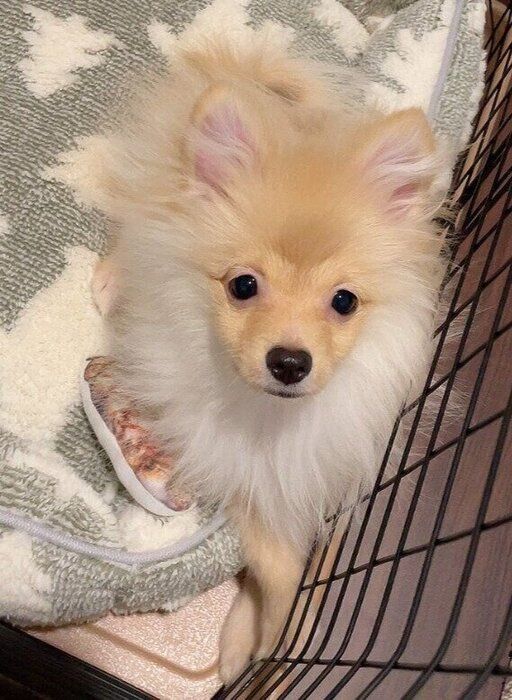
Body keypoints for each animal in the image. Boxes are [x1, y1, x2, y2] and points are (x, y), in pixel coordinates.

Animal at [90, 34, 447, 683]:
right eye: (243, 286)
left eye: (343, 301)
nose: (288, 361)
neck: (272, 420)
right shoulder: (235, 467)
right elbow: (275, 568)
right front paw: (263, 649)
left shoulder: (301, 473)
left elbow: (287, 571)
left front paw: (259, 643)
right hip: (160, 197)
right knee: (139, 228)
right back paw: (112, 278)